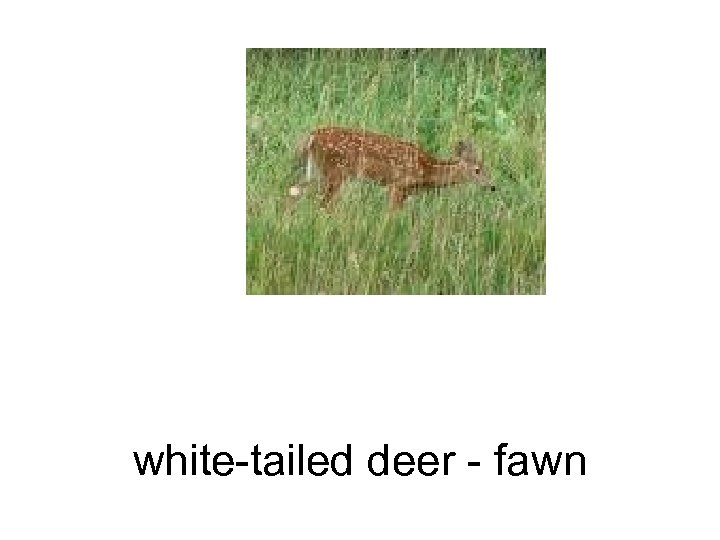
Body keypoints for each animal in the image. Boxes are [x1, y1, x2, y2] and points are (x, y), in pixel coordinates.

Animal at [289, 127, 494, 210]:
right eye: (477, 170)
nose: (492, 186)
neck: (427, 169)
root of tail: (312, 136)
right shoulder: (398, 185)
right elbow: (392, 214)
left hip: (316, 171)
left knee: (294, 191)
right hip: (335, 172)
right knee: (323, 203)